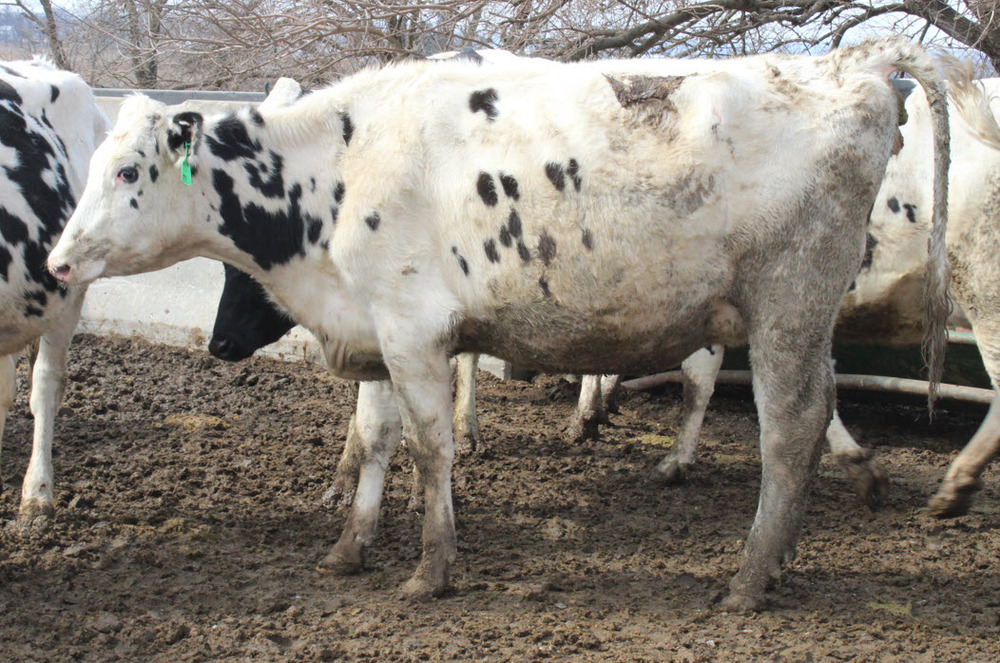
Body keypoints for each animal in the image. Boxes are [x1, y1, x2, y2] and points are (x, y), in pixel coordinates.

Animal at [49, 37, 965, 610]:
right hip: (798, 318)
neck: (340, 165)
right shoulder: (378, 332)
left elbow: (430, 450)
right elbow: (375, 439)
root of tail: (850, 63)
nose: (57, 258)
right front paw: (350, 546)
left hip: (788, 308)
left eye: (126, 170)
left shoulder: (414, 332)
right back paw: (784, 552)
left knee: (789, 430)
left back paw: (750, 575)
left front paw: (431, 567)